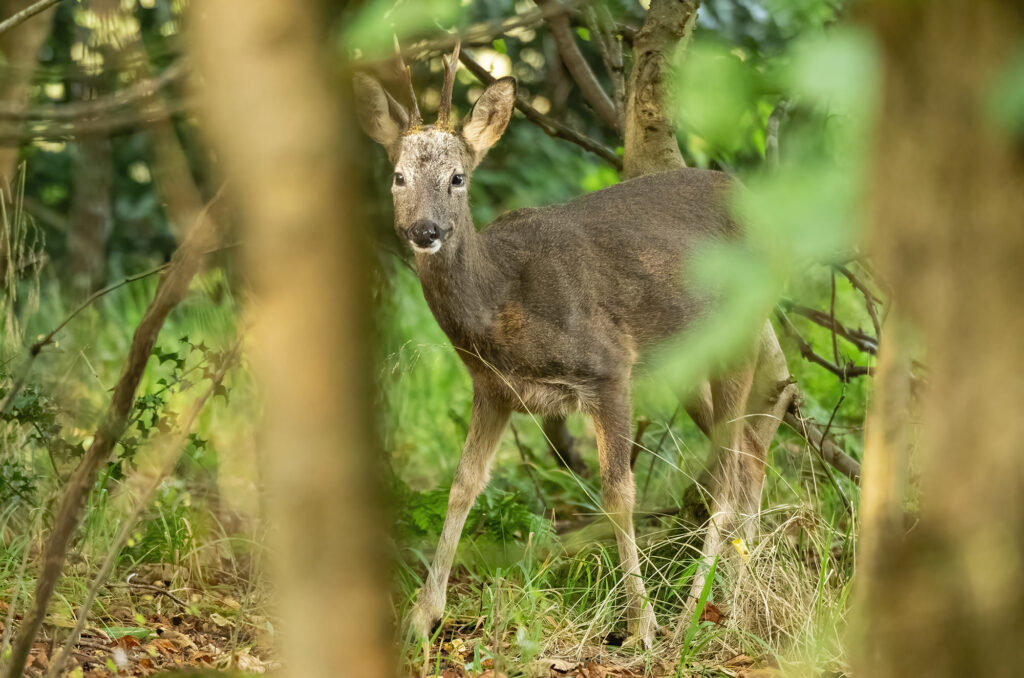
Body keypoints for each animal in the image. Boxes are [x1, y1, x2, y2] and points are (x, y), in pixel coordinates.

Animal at [356, 43, 794, 647]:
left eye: (458, 178)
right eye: (398, 176)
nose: (425, 231)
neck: (502, 302)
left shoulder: (609, 369)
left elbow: (618, 494)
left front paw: (640, 626)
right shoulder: (492, 388)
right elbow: (463, 484)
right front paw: (422, 616)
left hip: (739, 327)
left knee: (729, 471)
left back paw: (690, 617)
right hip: (690, 354)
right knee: (749, 452)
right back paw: (739, 593)